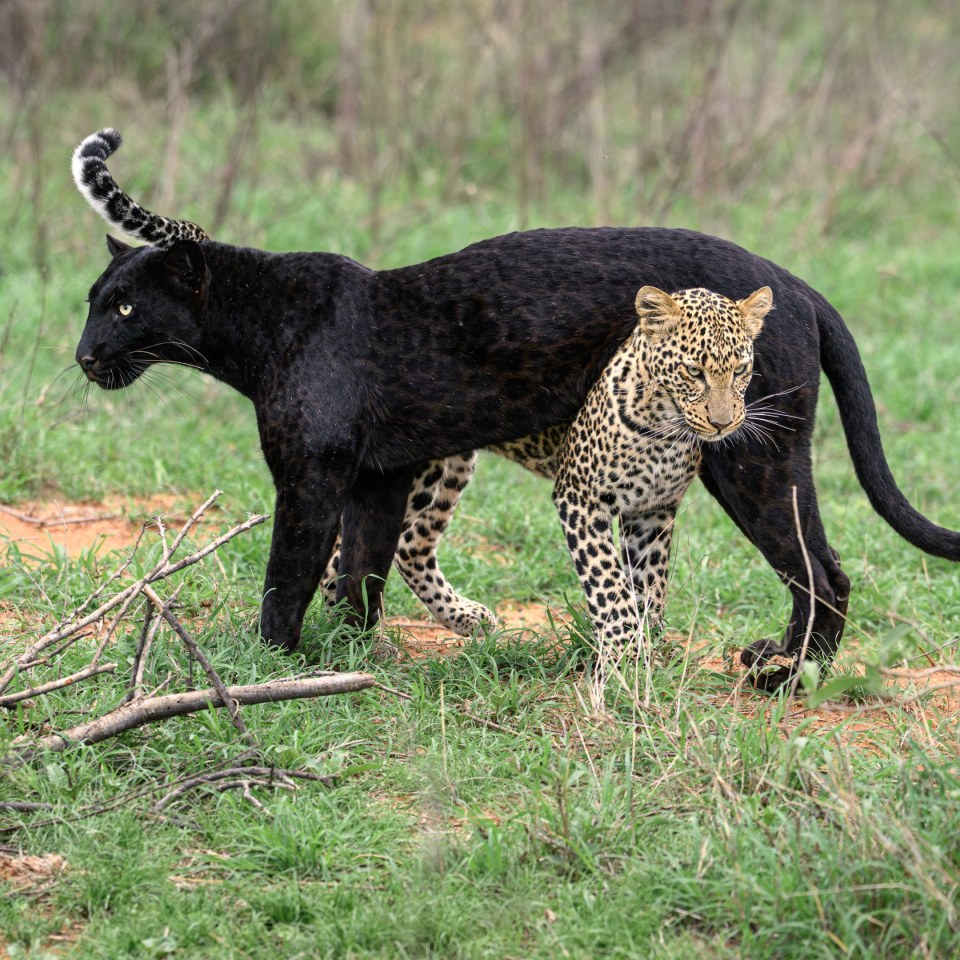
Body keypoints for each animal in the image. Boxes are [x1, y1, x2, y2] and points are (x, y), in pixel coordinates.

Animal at [71, 128, 960, 691]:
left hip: (751, 457)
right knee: (819, 569)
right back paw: (782, 663)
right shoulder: (380, 475)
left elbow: (286, 577)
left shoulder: (310, 477)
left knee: (821, 571)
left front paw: (268, 667)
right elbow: (360, 572)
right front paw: (344, 658)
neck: (250, 329)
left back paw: (787, 676)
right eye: (94, 303)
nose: (82, 354)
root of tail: (794, 281)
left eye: (124, 308)